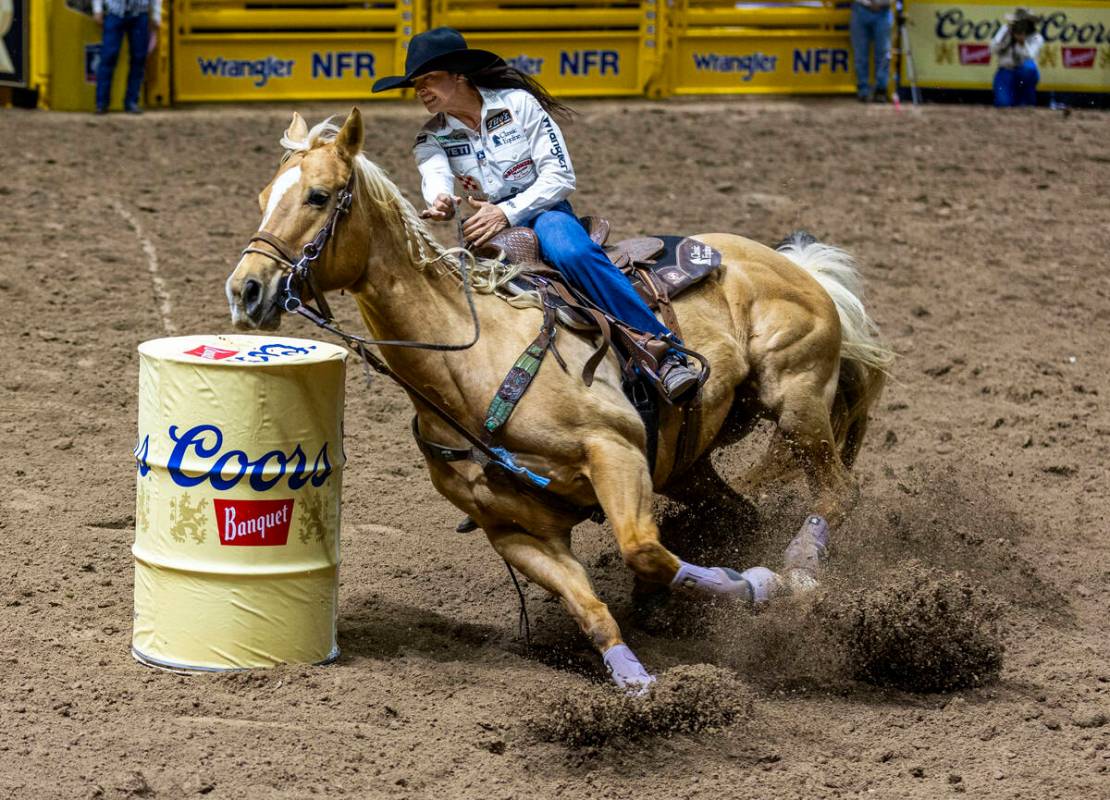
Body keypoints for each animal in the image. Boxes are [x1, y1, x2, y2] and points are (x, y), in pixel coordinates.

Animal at [225, 109, 892, 687]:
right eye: (262, 197)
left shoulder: (613, 454)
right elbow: (592, 610)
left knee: (837, 492)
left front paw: (760, 585)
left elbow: (645, 550)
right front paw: (636, 686)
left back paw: (797, 570)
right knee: (739, 512)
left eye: (318, 196)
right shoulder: (516, 531)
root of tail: (791, 262)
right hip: (688, 463)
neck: (473, 364)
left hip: (796, 401)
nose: (246, 290)